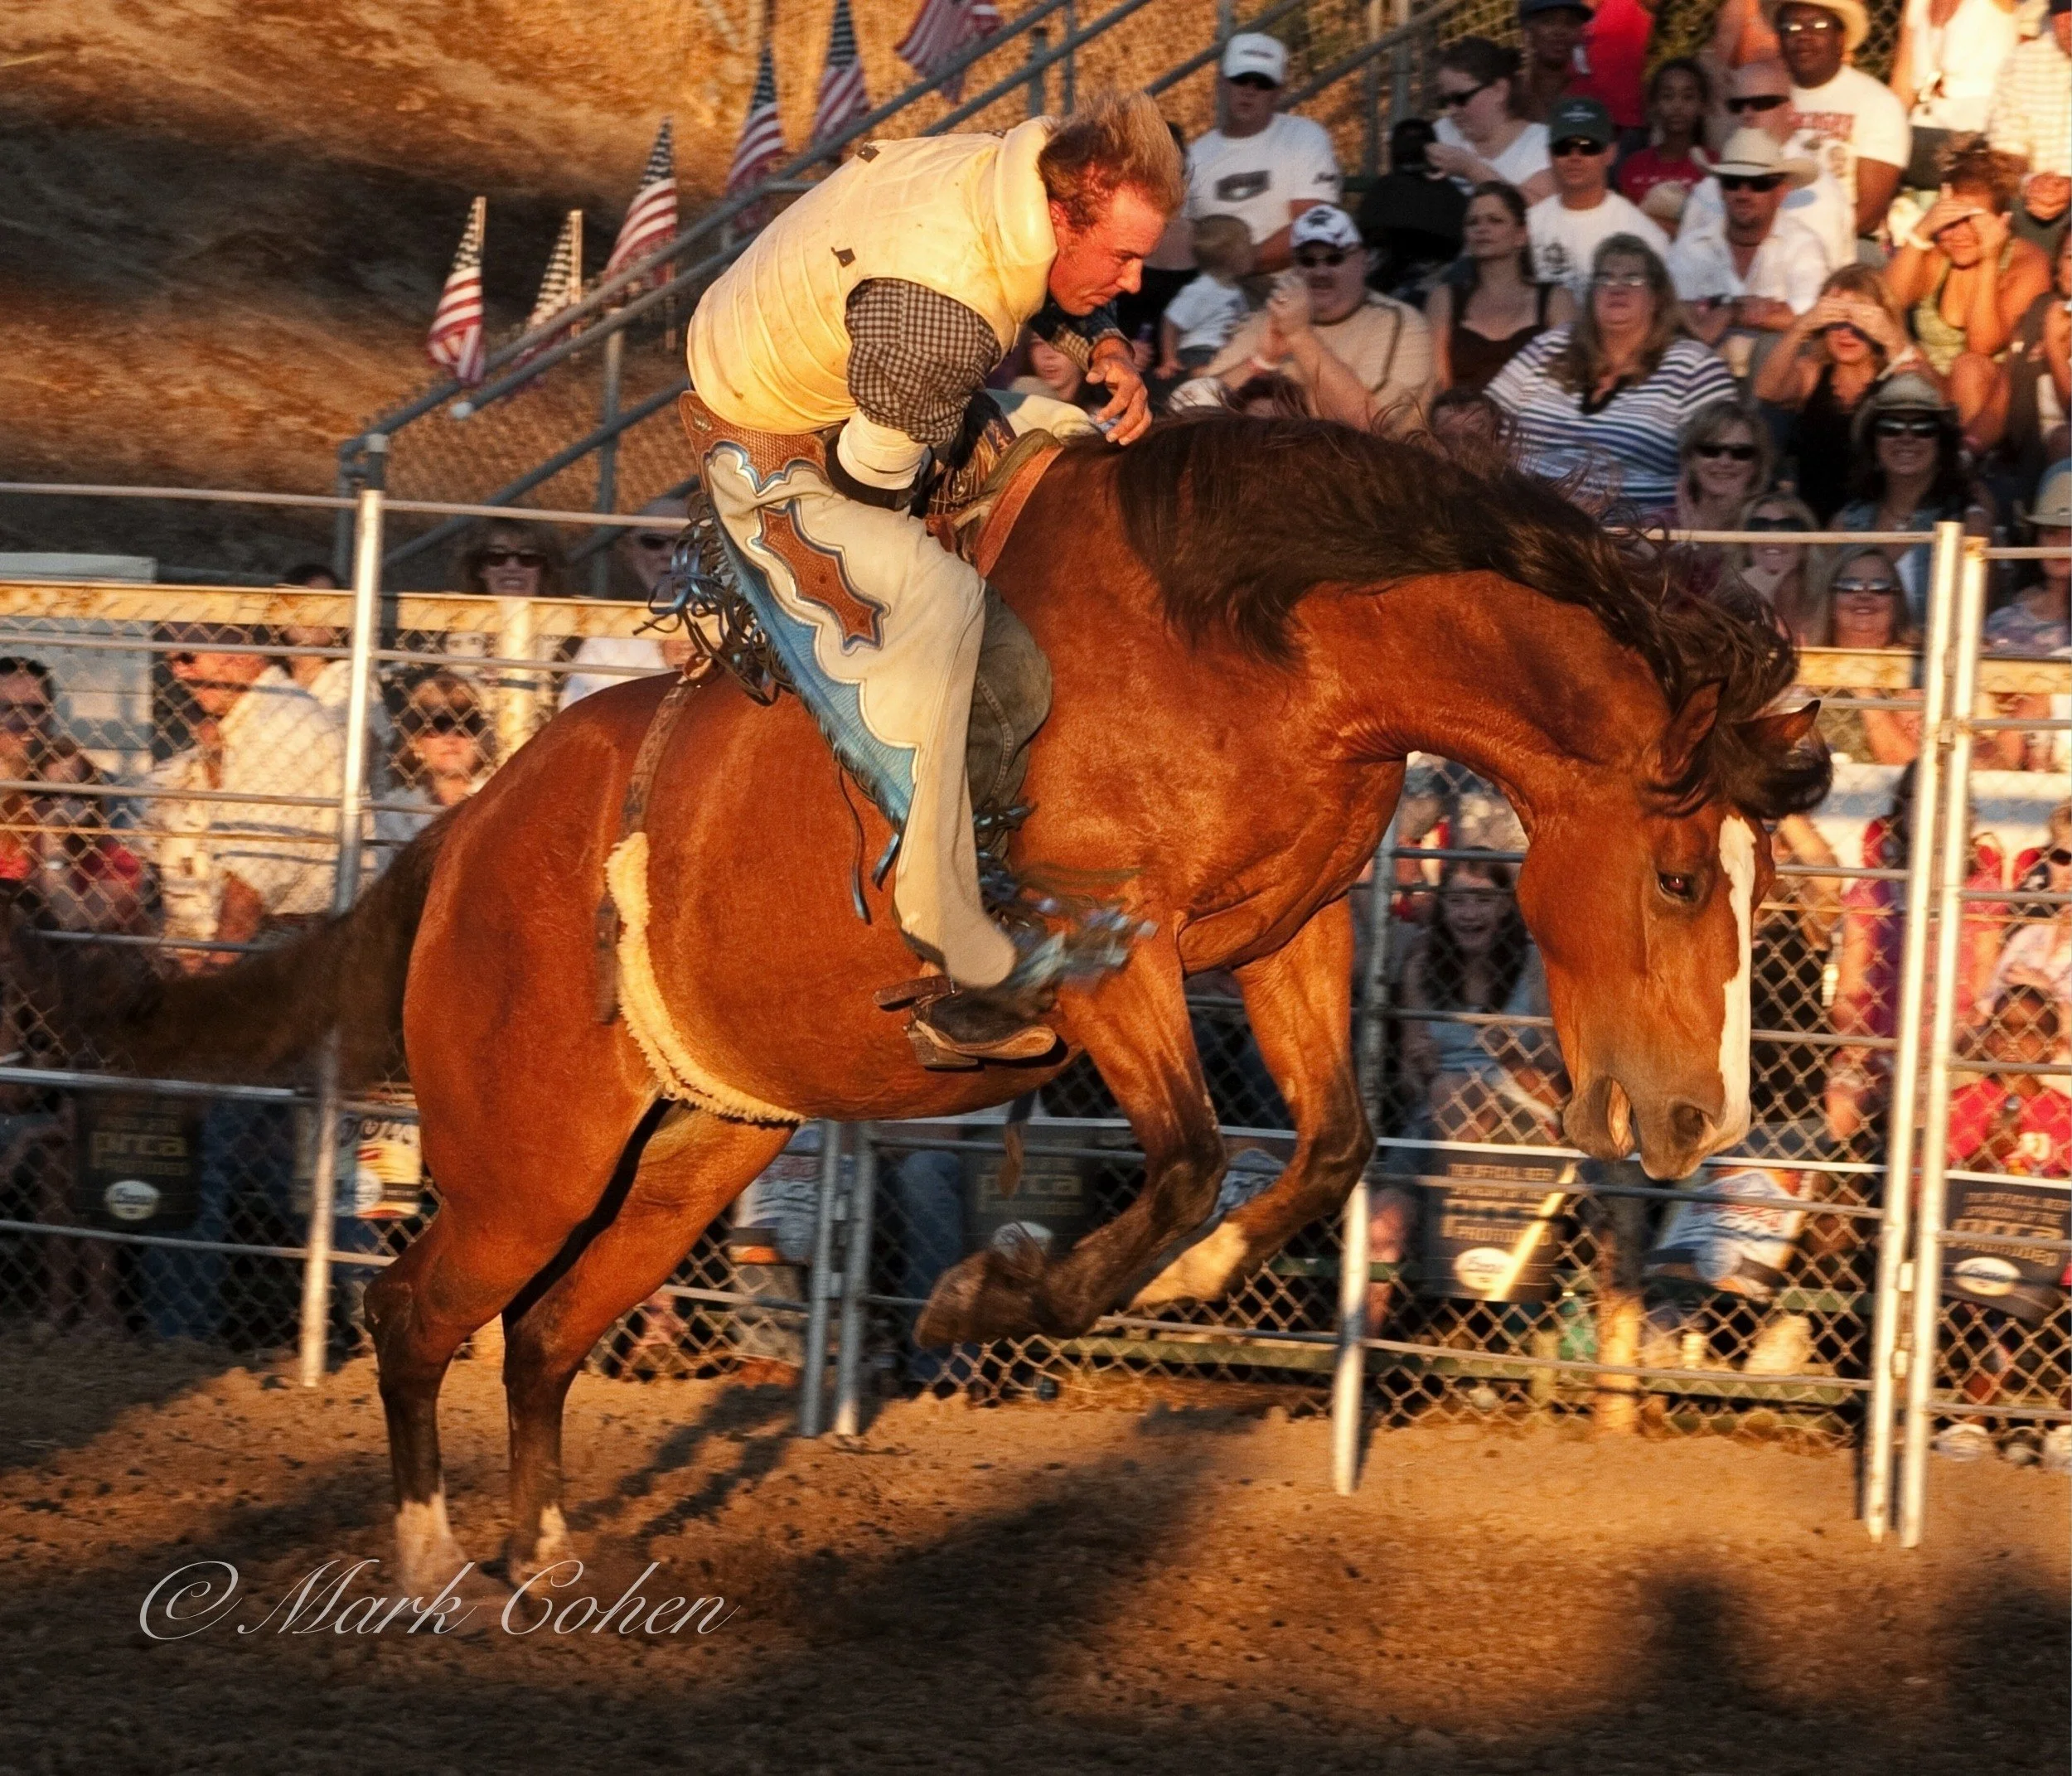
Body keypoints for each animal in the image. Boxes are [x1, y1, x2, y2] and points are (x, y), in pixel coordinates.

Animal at [11, 416, 1828, 1592]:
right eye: (1684, 875)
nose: (1697, 1116)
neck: (1247, 637)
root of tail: (464, 834)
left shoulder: (1288, 938)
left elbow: (1320, 1147)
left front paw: (1178, 1291)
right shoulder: (1103, 953)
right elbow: (1185, 1158)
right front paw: (986, 1294)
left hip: (691, 1153)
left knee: (541, 1333)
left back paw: (546, 1549)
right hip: (524, 1153)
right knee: (415, 1316)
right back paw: (422, 1550)